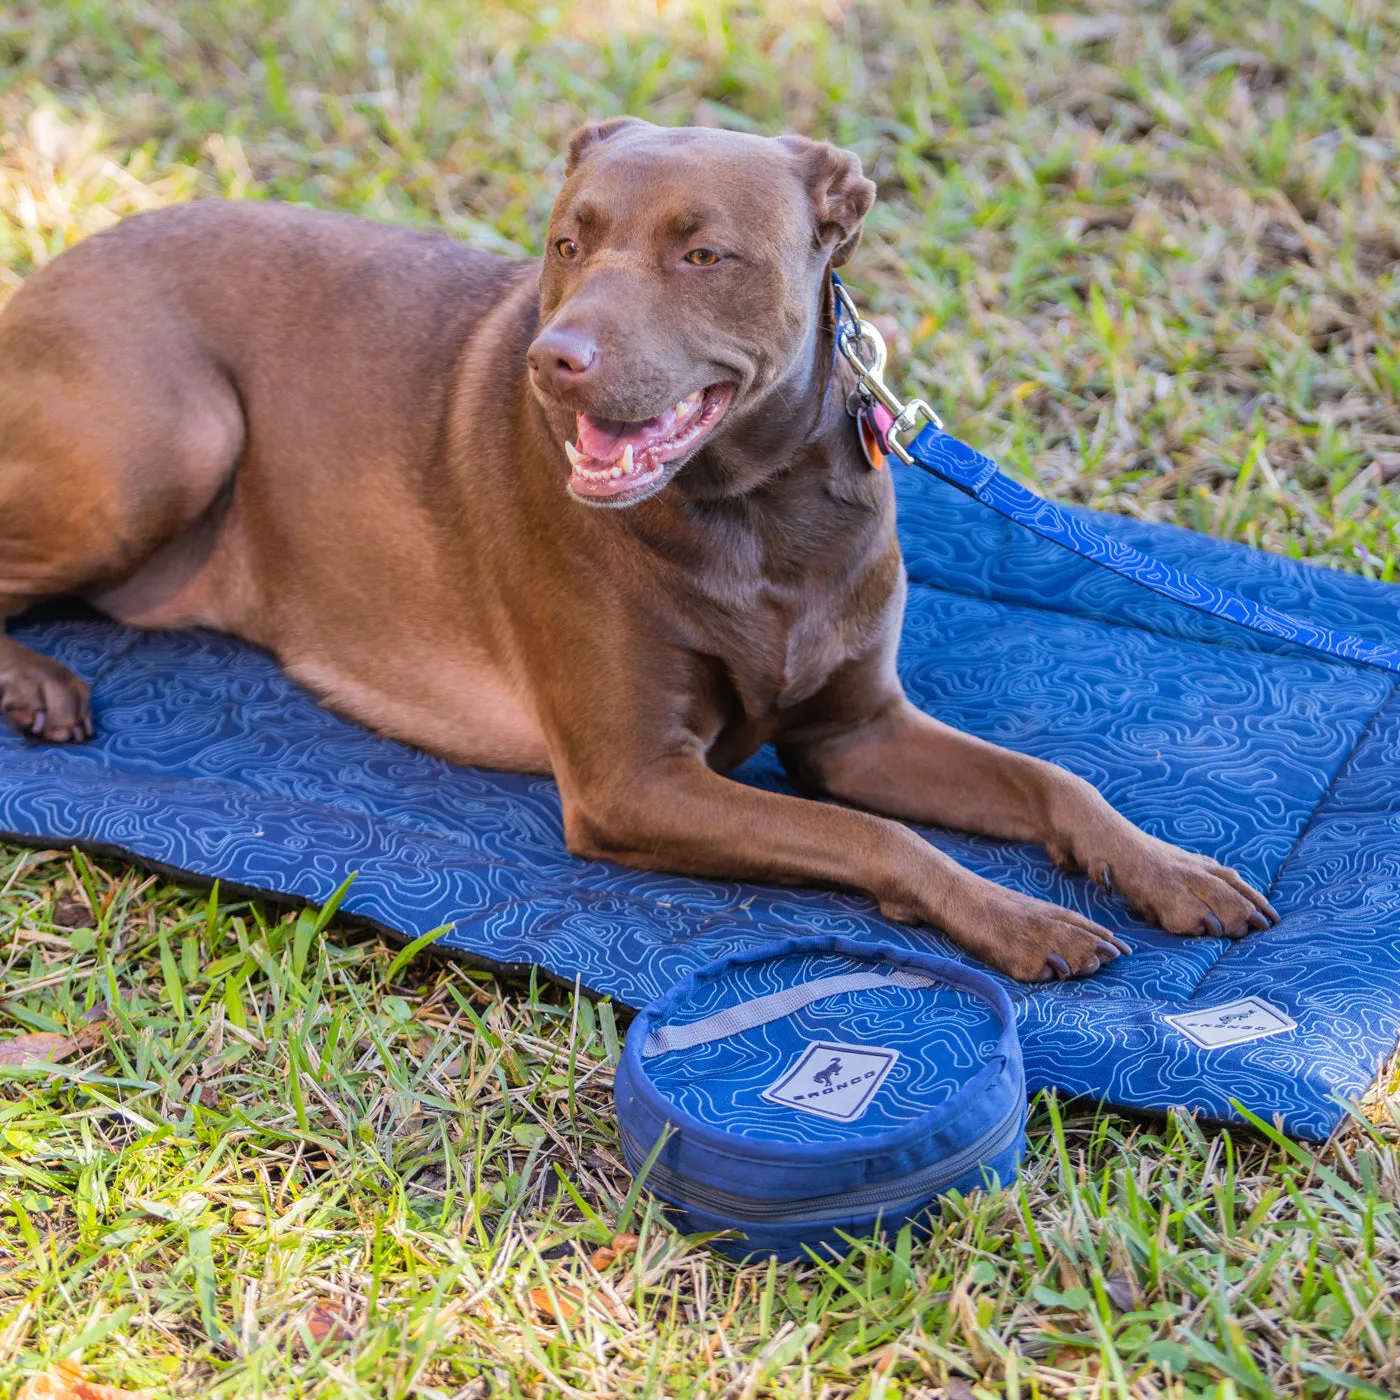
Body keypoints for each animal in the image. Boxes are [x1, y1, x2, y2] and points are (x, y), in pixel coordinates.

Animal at [0, 117, 1276, 974]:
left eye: (702, 256)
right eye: (567, 243)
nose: (551, 360)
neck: (756, 510)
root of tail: (55, 263)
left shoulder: (857, 731)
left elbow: (1052, 777)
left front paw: (1166, 870)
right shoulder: (634, 782)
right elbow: (871, 834)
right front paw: (1013, 917)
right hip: (174, 438)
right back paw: (38, 684)